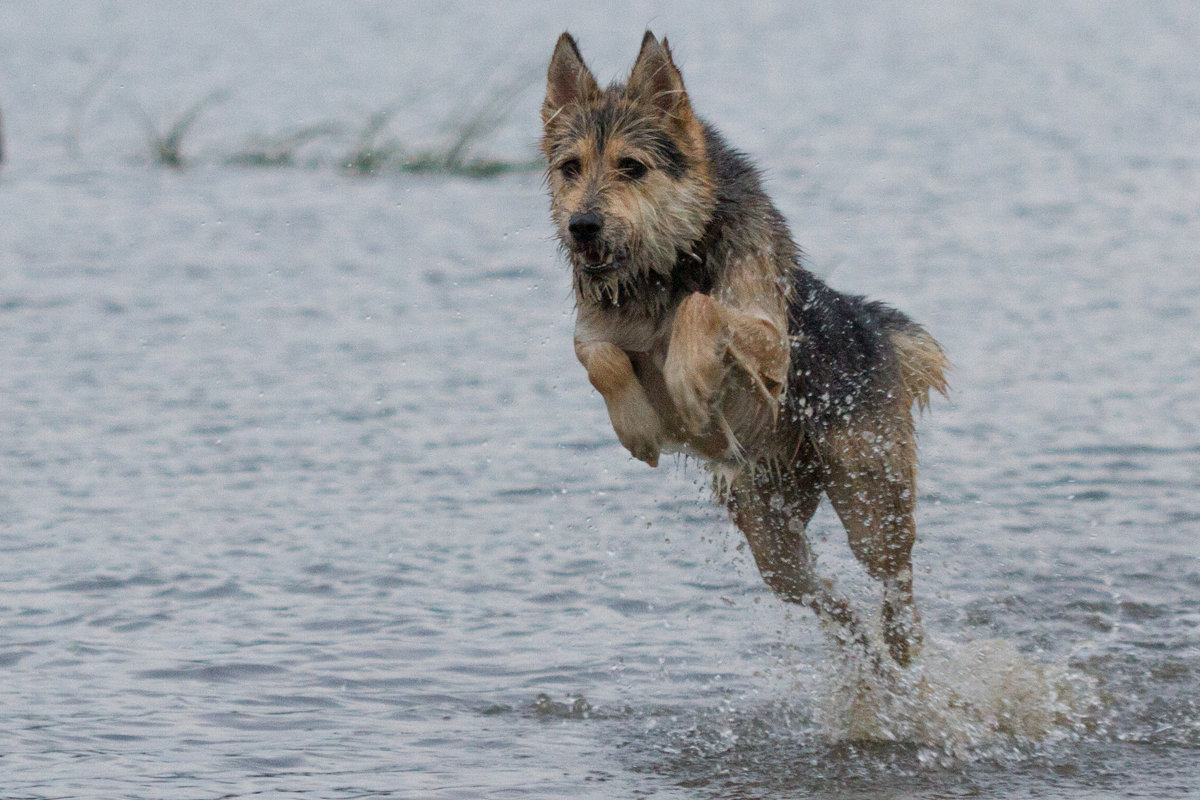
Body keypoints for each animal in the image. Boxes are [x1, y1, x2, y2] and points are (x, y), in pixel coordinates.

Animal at [542, 31, 945, 666]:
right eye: (570, 168)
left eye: (632, 167)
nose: (582, 226)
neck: (665, 269)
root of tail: (873, 326)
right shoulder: (595, 330)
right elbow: (599, 356)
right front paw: (637, 426)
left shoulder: (769, 343)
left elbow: (700, 309)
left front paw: (688, 383)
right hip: (771, 537)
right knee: (827, 599)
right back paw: (865, 660)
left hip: (868, 496)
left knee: (894, 578)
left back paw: (902, 648)